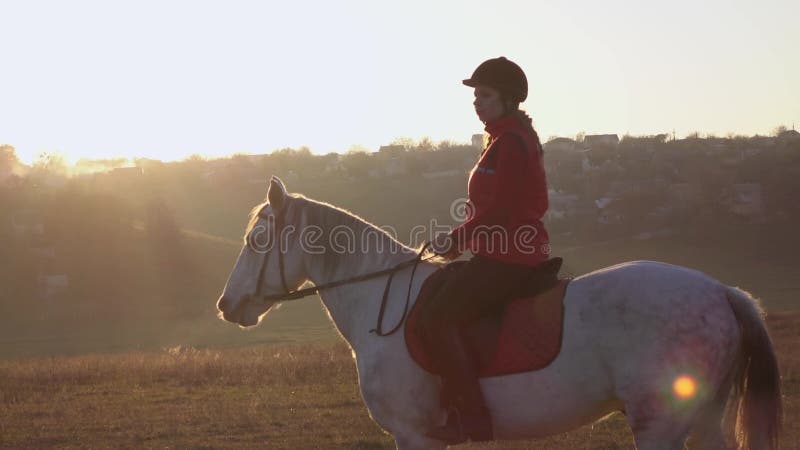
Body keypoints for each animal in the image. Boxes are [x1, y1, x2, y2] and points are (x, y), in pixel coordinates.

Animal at [214, 178, 780, 448]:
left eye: (257, 239)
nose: (226, 305)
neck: (380, 301)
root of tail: (720, 291)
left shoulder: (415, 436)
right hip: (702, 419)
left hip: (659, 425)